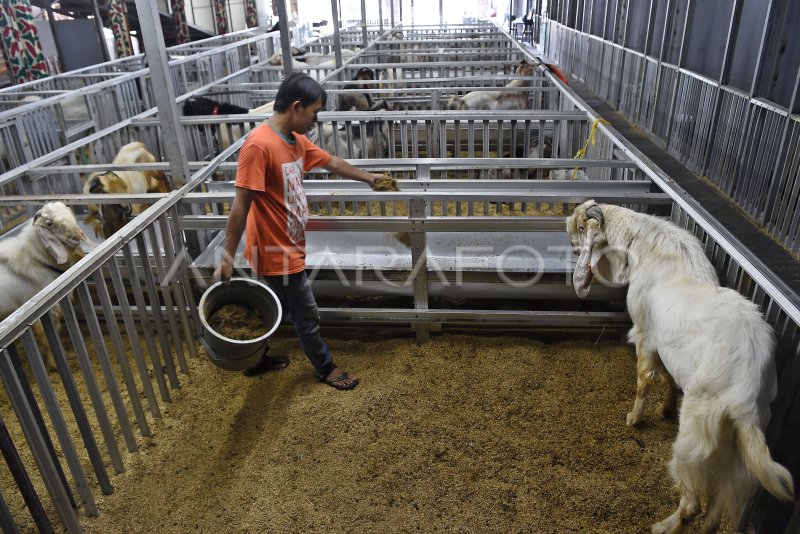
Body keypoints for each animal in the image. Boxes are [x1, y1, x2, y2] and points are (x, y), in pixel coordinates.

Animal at [0, 203, 85, 370]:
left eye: (69, 210)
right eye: (49, 223)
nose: (76, 237)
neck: (38, 261)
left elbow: (55, 331)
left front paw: (67, 355)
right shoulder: (34, 314)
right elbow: (45, 336)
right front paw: (54, 364)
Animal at [564, 202, 796, 534]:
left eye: (582, 227)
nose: (572, 245)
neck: (647, 249)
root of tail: (748, 392)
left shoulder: (646, 334)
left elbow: (644, 378)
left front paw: (635, 418)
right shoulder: (668, 348)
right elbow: (669, 378)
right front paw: (664, 409)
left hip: (696, 433)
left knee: (692, 503)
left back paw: (663, 525)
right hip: (735, 451)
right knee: (714, 512)